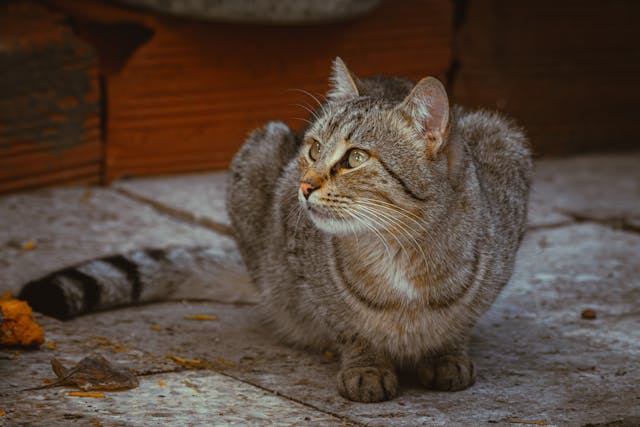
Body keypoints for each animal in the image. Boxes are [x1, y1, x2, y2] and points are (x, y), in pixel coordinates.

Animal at [228, 56, 532, 402]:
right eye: (314, 149)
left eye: (356, 157)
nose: (303, 186)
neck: (400, 248)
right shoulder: (305, 270)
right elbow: (348, 326)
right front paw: (367, 367)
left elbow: (462, 320)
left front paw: (446, 354)